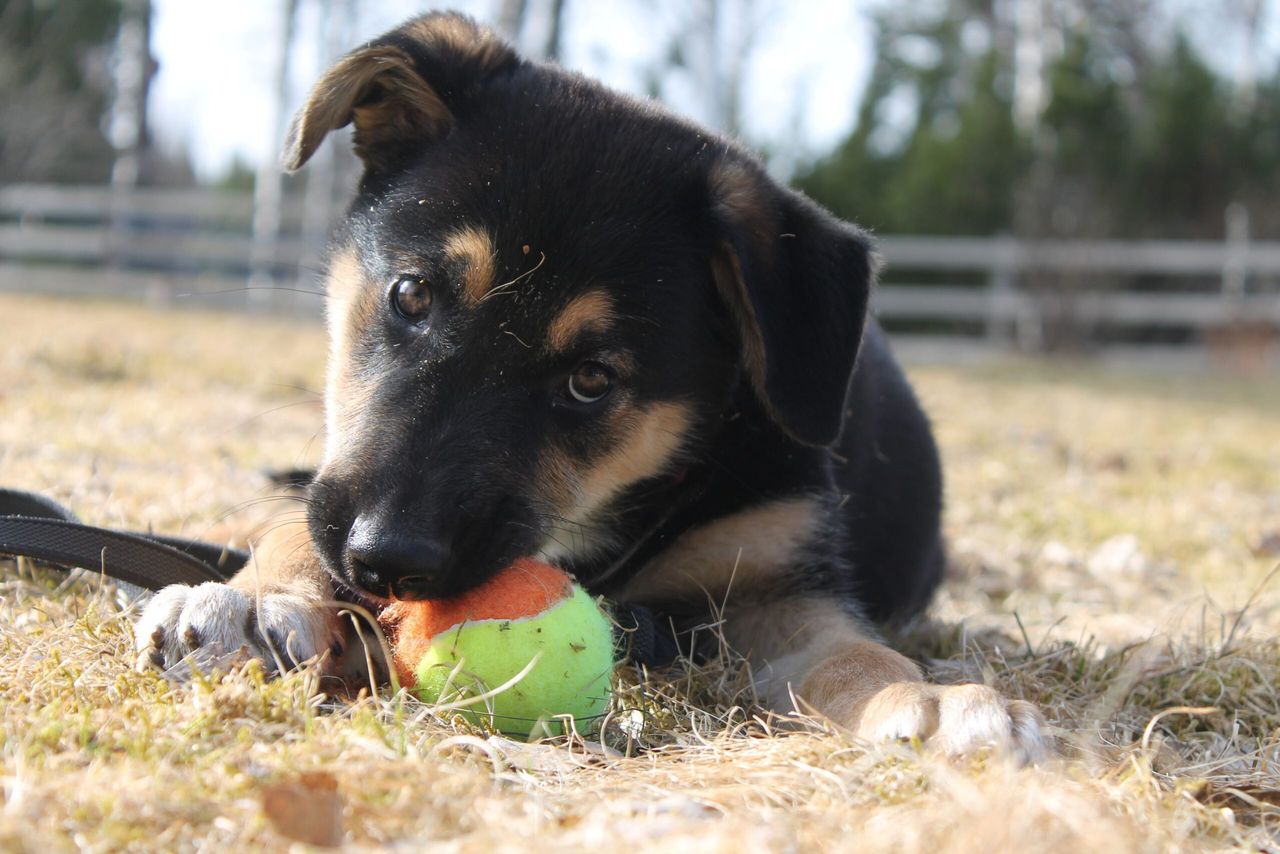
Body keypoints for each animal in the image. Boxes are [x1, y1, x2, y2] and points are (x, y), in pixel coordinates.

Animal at [137, 11, 1039, 763]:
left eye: (592, 380)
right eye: (412, 294)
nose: (385, 559)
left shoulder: (777, 577)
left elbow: (851, 649)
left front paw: (929, 698)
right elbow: (296, 527)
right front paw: (255, 598)